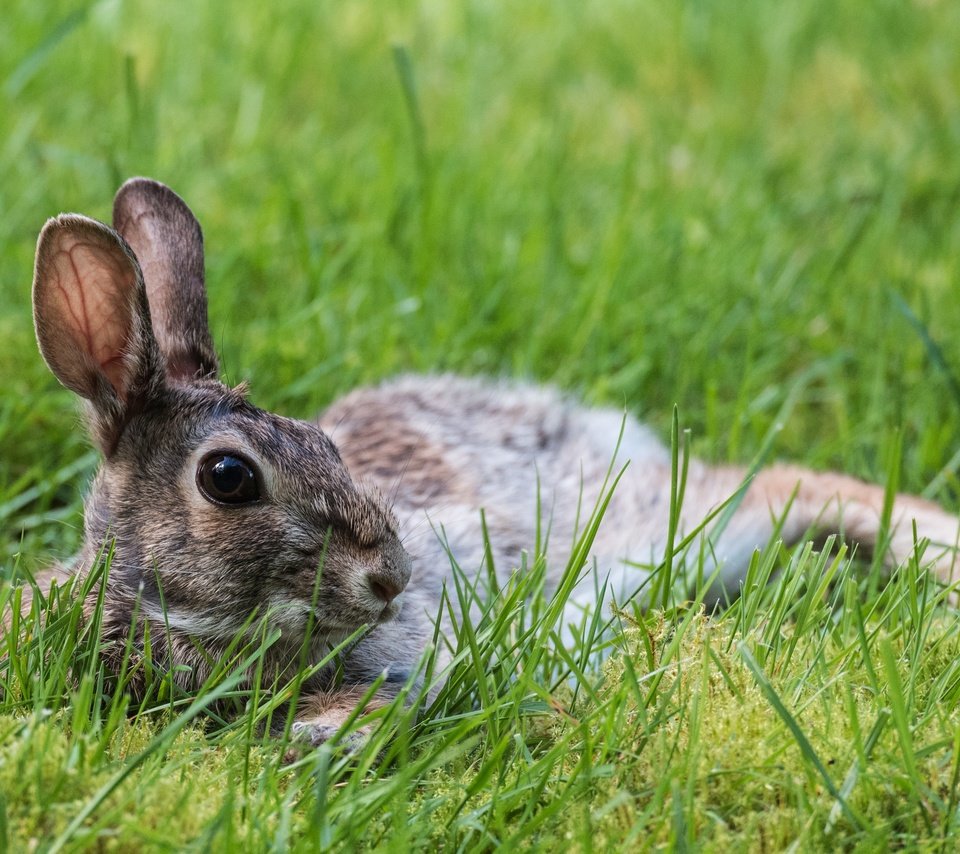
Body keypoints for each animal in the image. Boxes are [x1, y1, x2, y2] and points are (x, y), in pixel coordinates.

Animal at [24, 181, 960, 748]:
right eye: (229, 478)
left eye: (327, 444)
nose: (393, 577)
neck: (178, 620)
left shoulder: (409, 654)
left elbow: (400, 690)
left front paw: (319, 737)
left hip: (665, 524)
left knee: (778, 487)